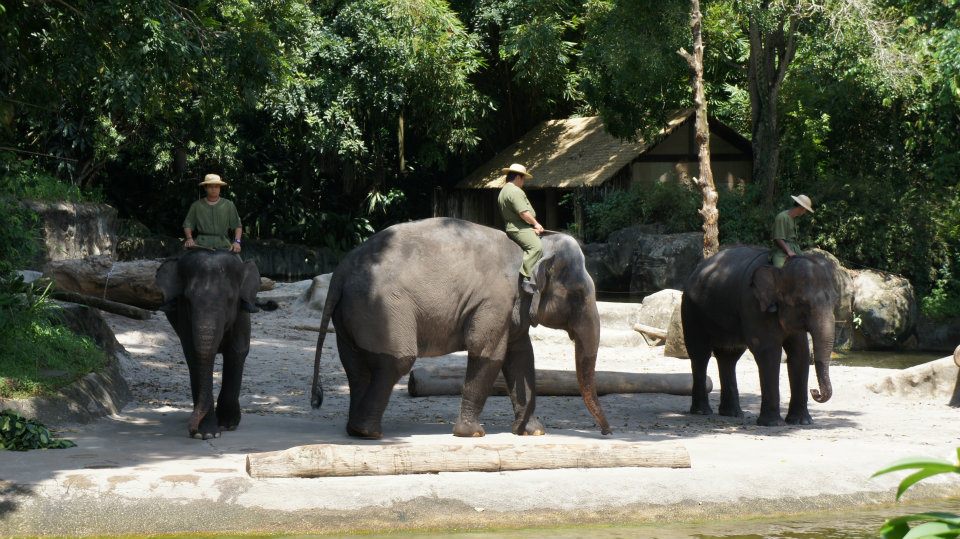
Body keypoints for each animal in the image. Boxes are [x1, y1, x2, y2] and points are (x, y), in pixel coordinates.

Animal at [157, 249, 262, 438]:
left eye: (230, 299)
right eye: (188, 300)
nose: (192, 430)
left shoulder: (242, 313)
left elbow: (237, 351)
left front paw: (227, 425)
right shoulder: (183, 315)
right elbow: (192, 353)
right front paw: (206, 434)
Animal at [314, 217, 616, 440]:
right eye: (578, 295)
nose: (607, 432)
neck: (532, 248)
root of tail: (340, 271)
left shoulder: (512, 308)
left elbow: (522, 358)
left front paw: (533, 432)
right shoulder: (495, 301)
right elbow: (488, 354)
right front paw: (472, 434)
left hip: (350, 315)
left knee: (357, 368)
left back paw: (355, 430)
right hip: (383, 307)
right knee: (396, 362)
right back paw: (370, 433)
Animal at [680, 247, 836, 428]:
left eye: (835, 301)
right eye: (802, 303)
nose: (814, 391)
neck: (780, 268)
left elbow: (800, 353)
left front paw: (802, 422)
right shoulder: (754, 306)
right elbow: (769, 352)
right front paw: (772, 423)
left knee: (728, 357)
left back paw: (732, 413)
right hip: (691, 310)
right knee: (700, 354)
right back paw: (702, 411)